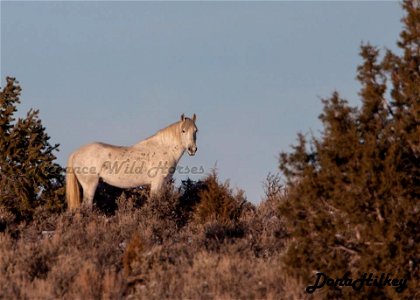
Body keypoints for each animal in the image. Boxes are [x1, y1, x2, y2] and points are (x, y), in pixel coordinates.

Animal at [65, 113, 197, 210]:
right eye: (183, 130)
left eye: (196, 130)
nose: (192, 149)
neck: (163, 148)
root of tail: (75, 153)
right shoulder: (157, 182)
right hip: (90, 185)